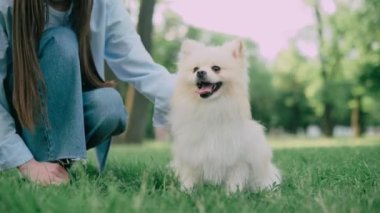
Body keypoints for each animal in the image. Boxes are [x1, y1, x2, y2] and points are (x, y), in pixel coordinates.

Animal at [171, 38, 280, 193]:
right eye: (195, 69)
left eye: (216, 68)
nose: (200, 72)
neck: (211, 108)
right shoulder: (192, 153)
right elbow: (189, 176)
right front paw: (186, 192)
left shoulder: (237, 157)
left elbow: (236, 178)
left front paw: (232, 193)